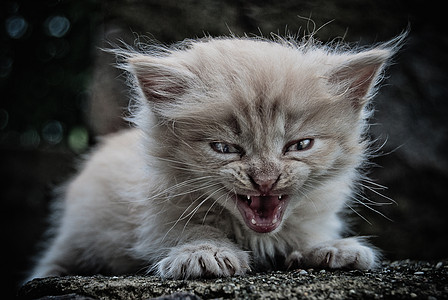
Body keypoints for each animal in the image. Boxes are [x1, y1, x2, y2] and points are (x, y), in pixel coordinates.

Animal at [29, 33, 404, 282]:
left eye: (300, 145)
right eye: (225, 148)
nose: (265, 179)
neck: (255, 236)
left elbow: (304, 233)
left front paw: (331, 248)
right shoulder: (156, 212)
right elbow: (188, 229)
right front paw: (203, 253)